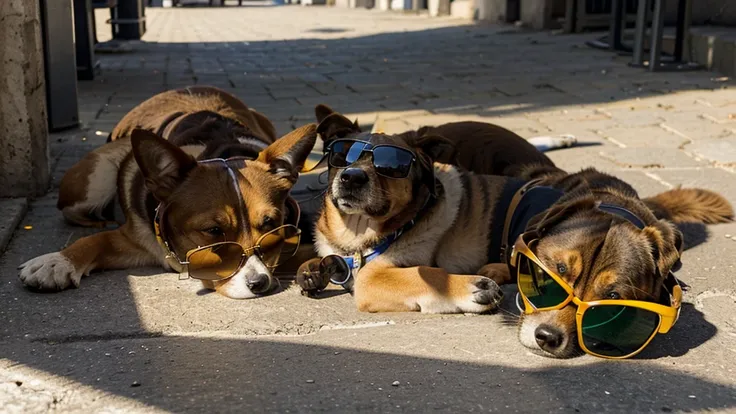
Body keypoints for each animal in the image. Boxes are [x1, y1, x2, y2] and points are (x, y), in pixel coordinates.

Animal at [18, 87, 318, 300]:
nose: (259, 283)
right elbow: (95, 241)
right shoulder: (133, 238)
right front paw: (57, 262)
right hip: (94, 181)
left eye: (271, 225)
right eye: (213, 231)